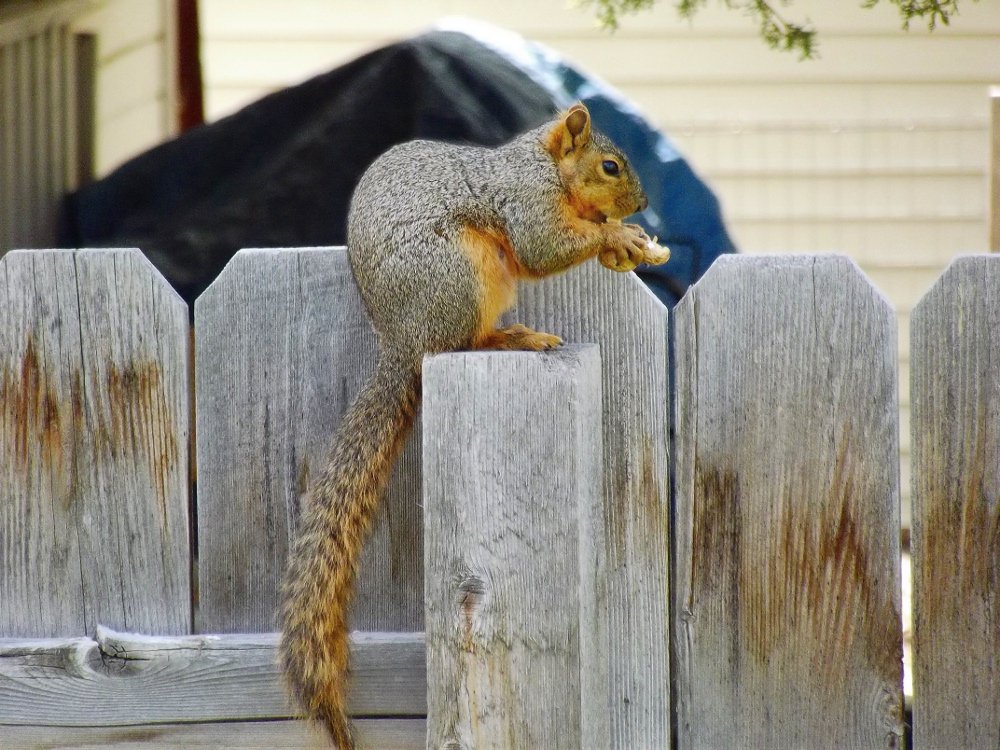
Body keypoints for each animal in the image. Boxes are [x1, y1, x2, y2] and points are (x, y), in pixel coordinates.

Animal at [280, 103, 672, 748]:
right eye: (610, 166)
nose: (640, 206)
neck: (545, 166)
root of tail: (404, 339)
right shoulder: (526, 201)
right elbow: (543, 247)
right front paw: (616, 238)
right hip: (460, 277)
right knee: (460, 343)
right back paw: (516, 339)